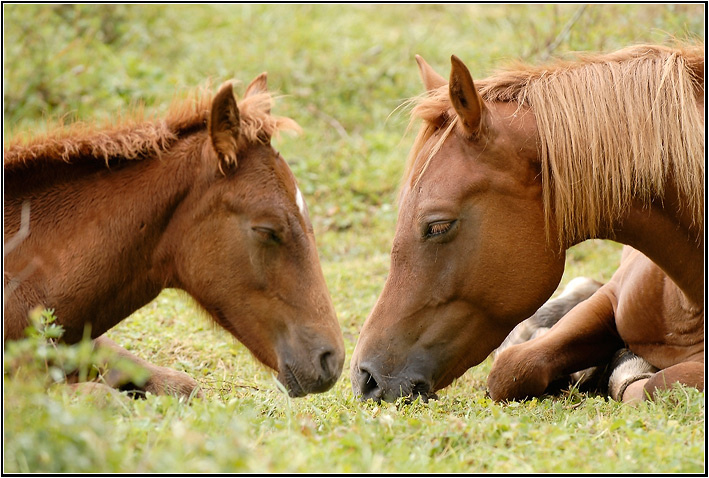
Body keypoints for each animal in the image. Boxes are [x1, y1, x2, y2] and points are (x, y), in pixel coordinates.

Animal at [350, 44, 704, 404]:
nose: (366, 377)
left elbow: (651, 384)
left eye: (438, 226)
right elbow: (512, 368)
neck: (686, 301)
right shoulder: (610, 299)